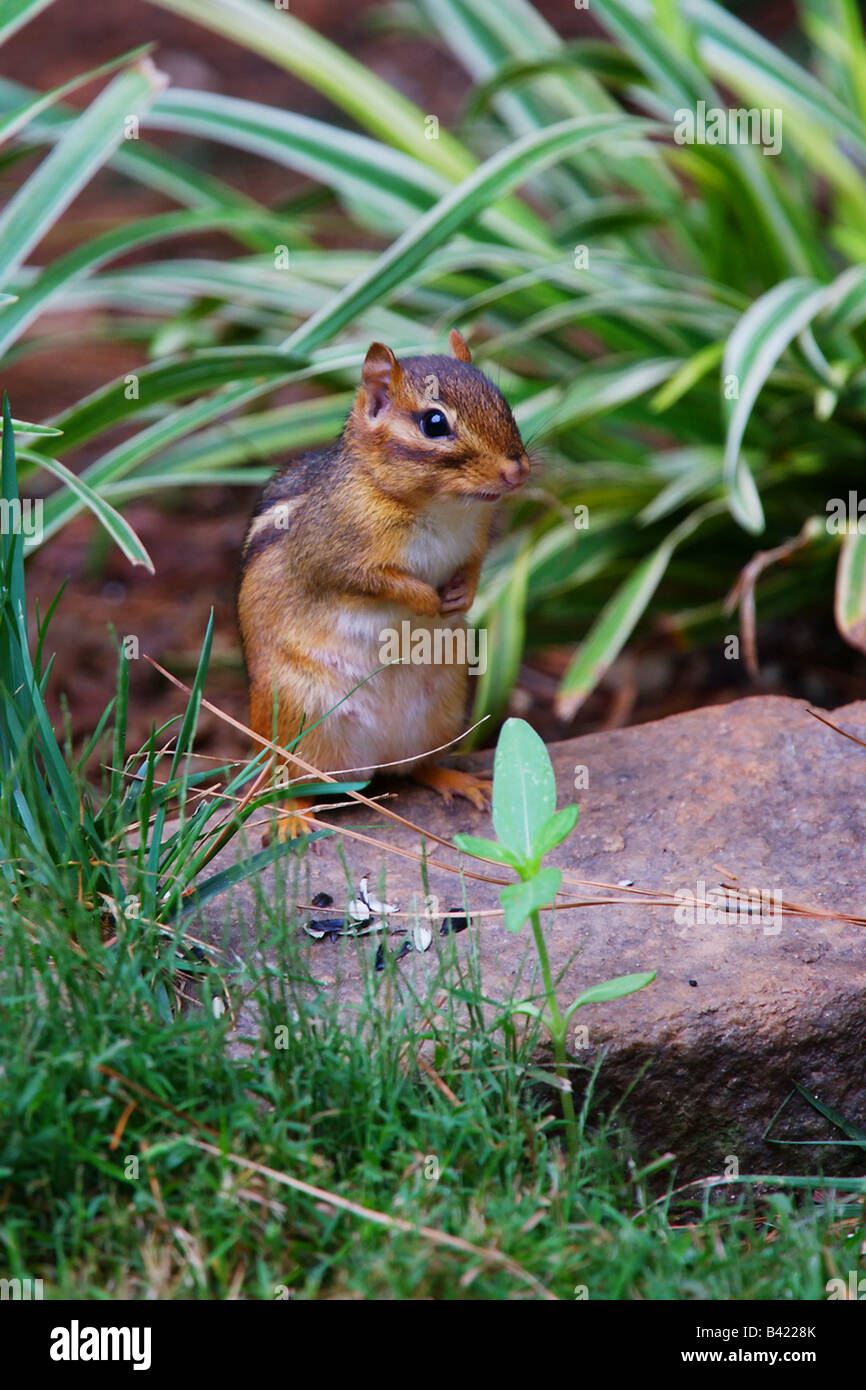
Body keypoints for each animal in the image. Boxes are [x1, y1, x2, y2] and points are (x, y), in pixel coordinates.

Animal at [237, 329, 530, 837]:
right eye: (434, 423)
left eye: (503, 402)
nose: (517, 471)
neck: (440, 506)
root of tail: (371, 763)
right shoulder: (337, 559)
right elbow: (380, 583)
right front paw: (428, 599)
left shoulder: (474, 542)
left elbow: (473, 568)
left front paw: (460, 596)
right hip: (293, 717)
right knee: (288, 781)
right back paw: (293, 816)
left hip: (442, 709)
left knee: (417, 768)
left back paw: (458, 780)